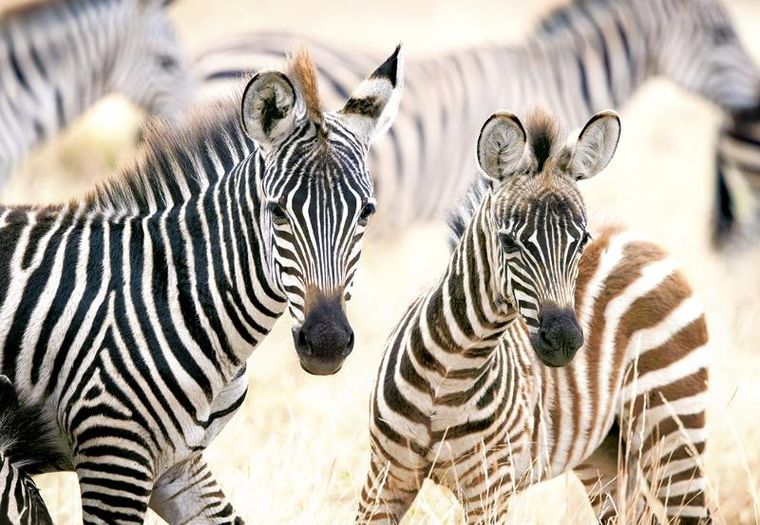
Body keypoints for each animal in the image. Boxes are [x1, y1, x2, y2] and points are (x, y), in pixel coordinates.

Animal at [358, 109, 710, 524]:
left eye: (582, 240)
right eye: (508, 242)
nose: (564, 340)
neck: (448, 376)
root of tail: (641, 240)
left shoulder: (489, 490)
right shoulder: (384, 479)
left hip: (674, 427)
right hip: (606, 453)